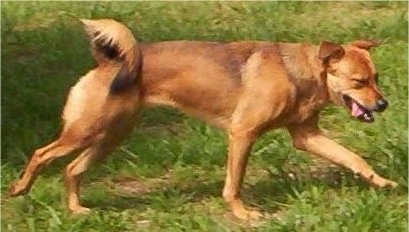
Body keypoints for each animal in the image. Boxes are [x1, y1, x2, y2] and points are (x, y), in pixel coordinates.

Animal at [9, 19, 396, 220]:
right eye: (359, 82)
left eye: (376, 77)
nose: (384, 104)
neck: (299, 73)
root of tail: (110, 63)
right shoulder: (242, 134)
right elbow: (233, 184)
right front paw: (242, 214)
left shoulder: (308, 136)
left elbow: (353, 159)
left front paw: (382, 182)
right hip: (86, 131)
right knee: (42, 154)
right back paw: (19, 189)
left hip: (110, 137)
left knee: (73, 169)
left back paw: (77, 209)